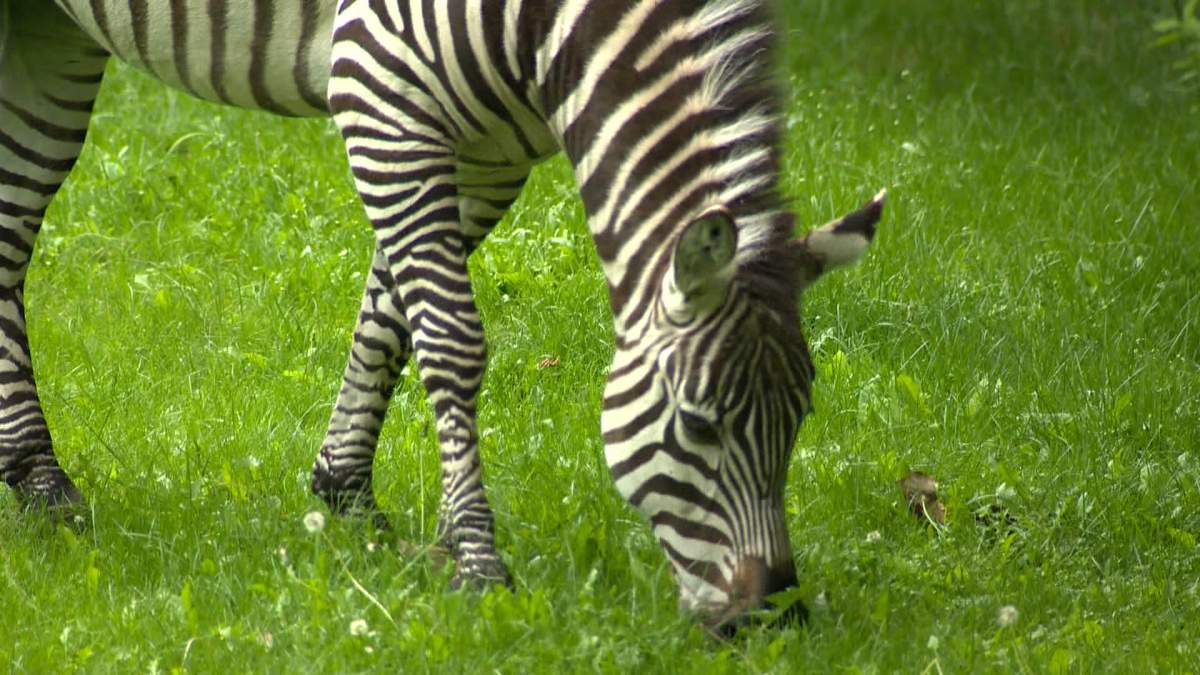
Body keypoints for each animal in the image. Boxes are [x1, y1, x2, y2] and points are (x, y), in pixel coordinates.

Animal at [0, 0, 884, 629]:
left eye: (801, 418)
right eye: (699, 424)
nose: (774, 620)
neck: (547, 36)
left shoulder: (490, 148)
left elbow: (393, 311)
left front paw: (347, 493)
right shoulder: (382, 92)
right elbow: (451, 338)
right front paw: (478, 562)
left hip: (49, 31)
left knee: (7, 232)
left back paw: (32, 477)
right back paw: (40, 478)